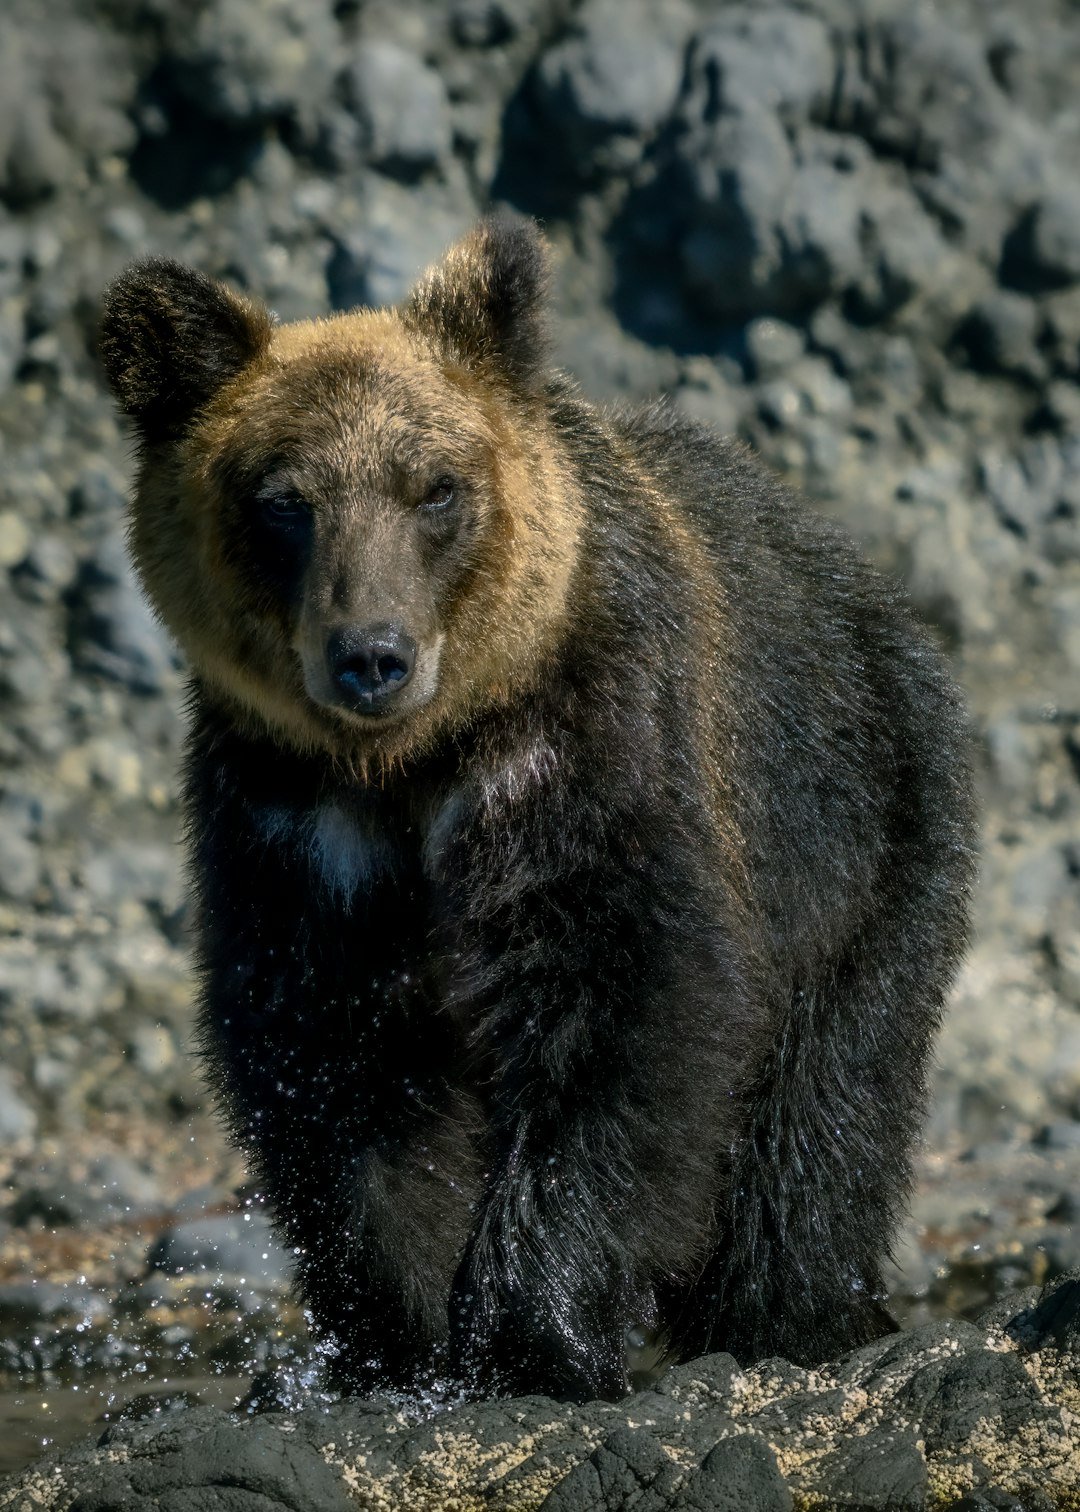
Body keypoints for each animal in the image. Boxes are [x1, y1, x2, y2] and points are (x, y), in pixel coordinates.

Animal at [99, 216, 976, 1405]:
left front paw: (532, 1328)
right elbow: (330, 1054)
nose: (371, 656)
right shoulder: (289, 816)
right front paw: (400, 1333)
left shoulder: (590, 743)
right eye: (283, 502)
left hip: (862, 829)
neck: (413, 761)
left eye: (435, 488)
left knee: (819, 1117)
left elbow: (621, 991)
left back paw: (793, 1314)